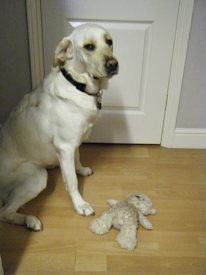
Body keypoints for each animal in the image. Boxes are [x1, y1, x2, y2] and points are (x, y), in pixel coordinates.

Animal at [0, 23, 118, 232]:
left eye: (109, 41)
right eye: (89, 47)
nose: (113, 64)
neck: (79, 85)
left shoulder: (73, 144)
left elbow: (77, 159)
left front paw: (81, 169)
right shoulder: (65, 147)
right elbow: (72, 181)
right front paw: (80, 205)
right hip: (37, 175)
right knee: (4, 213)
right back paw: (30, 220)